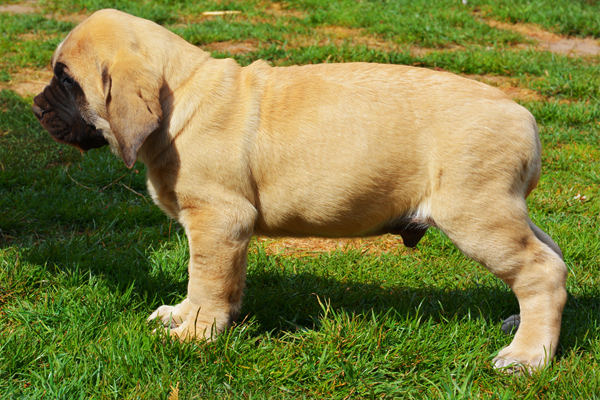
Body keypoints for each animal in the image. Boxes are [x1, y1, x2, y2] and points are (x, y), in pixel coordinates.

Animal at [31, 9, 568, 372]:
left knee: (541, 271)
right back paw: (521, 327)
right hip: (503, 210)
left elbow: (203, 279)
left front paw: (195, 333)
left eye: (67, 80)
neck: (180, 98)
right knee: (553, 256)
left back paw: (527, 357)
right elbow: (219, 282)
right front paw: (186, 316)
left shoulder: (217, 221)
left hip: (476, 215)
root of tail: (525, 118)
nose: (36, 108)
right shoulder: (226, 233)